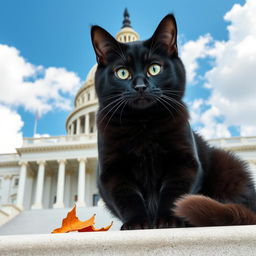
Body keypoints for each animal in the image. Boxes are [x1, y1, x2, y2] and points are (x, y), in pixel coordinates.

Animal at [90, 14, 256, 230]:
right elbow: (127, 197)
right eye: (122, 73)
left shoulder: (185, 163)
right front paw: (137, 223)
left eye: (154, 69)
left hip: (227, 162)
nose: (141, 86)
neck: (143, 124)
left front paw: (169, 220)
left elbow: (174, 193)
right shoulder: (113, 171)